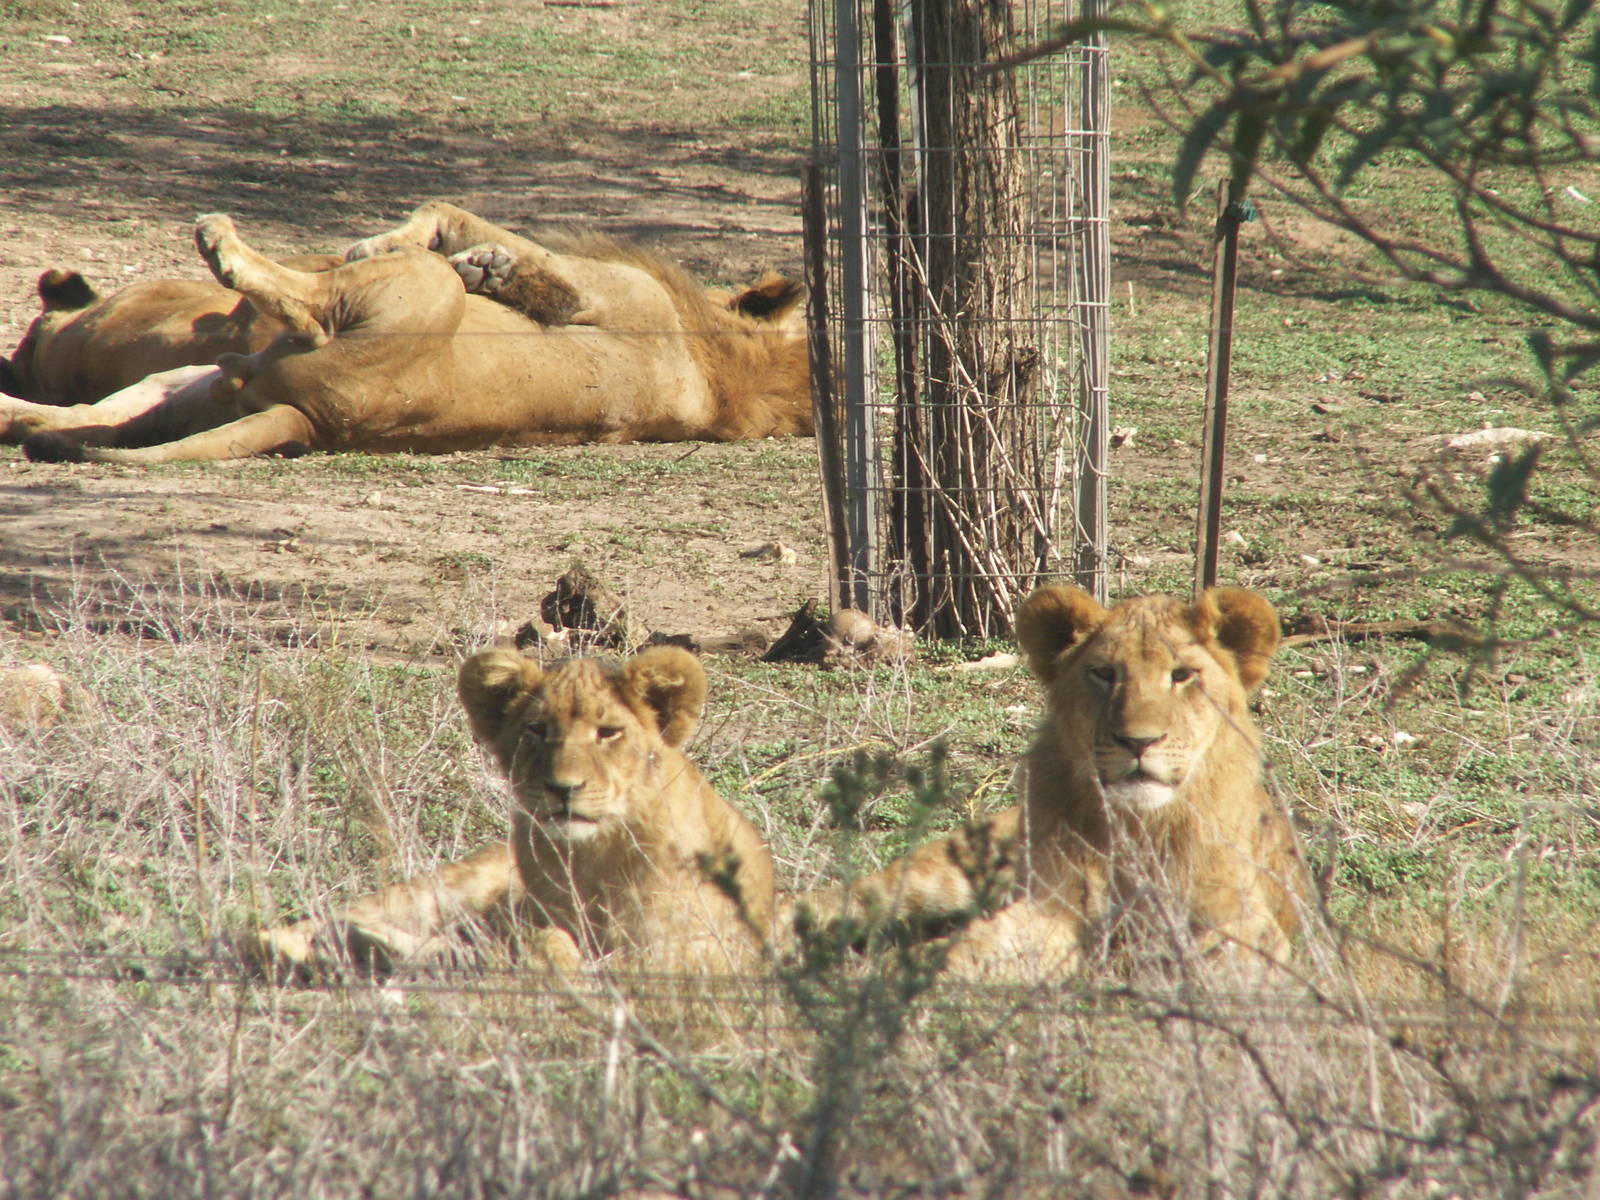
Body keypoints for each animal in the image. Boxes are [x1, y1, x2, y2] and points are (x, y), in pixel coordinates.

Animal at [3, 201, 810, 462]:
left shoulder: (611, 291)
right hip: (190, 392)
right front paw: (479, 260)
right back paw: (32, 425)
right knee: (92, 419)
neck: (726, 376)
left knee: (309, 306)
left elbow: (457, 218)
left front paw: (389, 244)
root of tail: (311, 420)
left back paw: (224, 243)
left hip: (421, 291)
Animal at [254, 645, 775, 976]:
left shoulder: (703, 950)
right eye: (537, 730)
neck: (593, 857)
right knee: (280, 932)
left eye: (608, 732)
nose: (563, 788)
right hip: (448, 887)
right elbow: (545, 943)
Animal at [799, 586, 1306, 977]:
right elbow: (979, 945)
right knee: (833, 902)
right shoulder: (1052, 907)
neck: (1138, 826)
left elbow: (1219, 954)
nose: (1138, 742)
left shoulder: (1248, 919)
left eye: (1182, 675)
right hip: (933, 878)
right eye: (1104, 673)